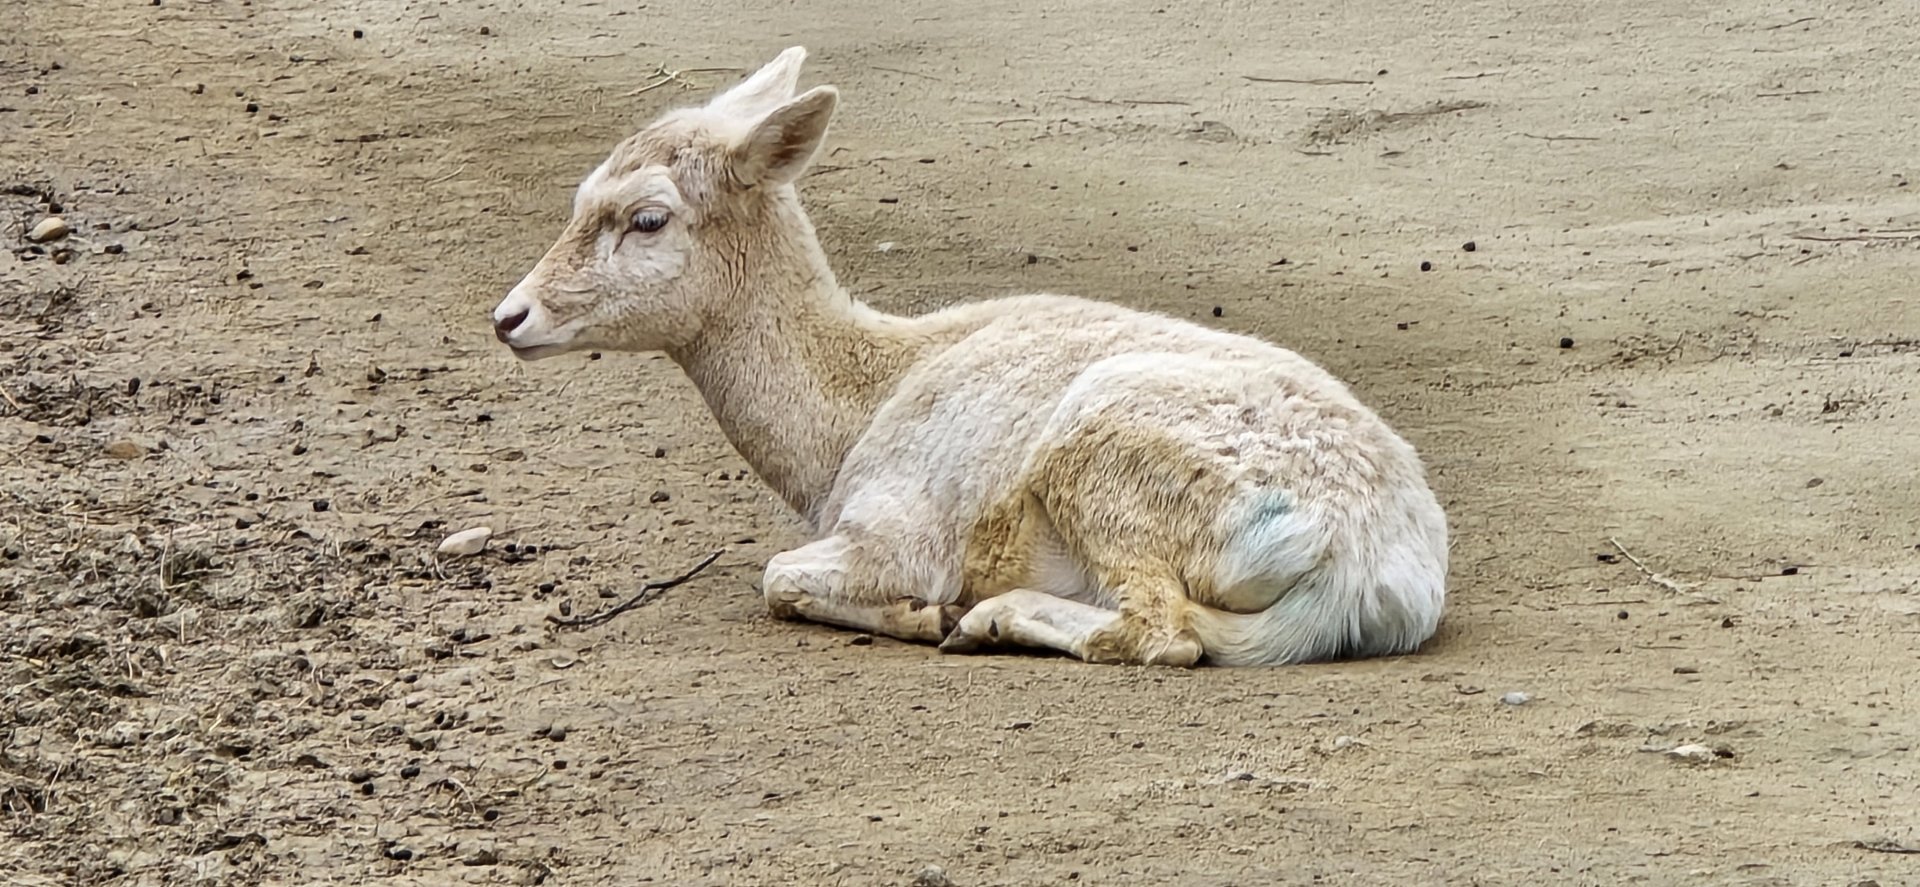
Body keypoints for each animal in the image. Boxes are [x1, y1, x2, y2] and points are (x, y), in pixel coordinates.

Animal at [490, 47, 1449, 667]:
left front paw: (918, 614)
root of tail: (1372, 574)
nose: (510, 317)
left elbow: (775, 576)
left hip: (1110, 455)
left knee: (1160, 631)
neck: (849, 421)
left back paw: (986, 616)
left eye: (647, 217)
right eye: (579, 194)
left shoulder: (896, 526)